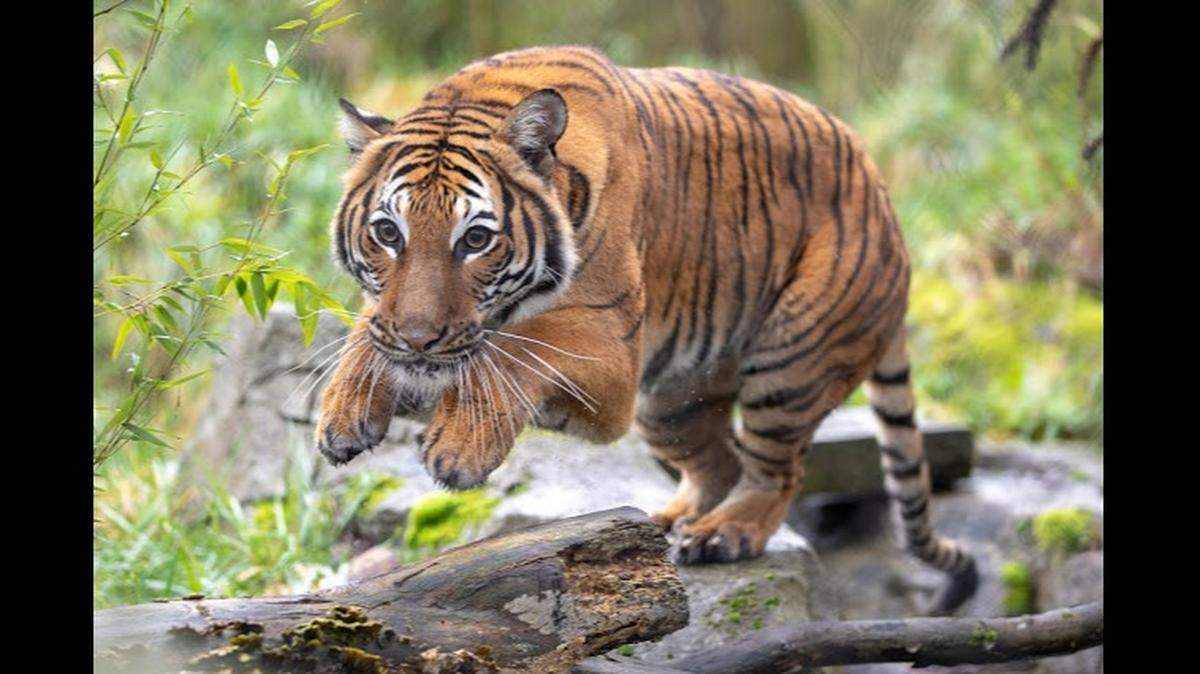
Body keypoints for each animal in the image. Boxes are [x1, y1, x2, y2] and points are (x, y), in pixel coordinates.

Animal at [315, 45, 977, 613]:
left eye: (475, 239)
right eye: (387, 233)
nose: (418, 339)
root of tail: (885, 200)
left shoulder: (610, 358)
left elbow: (516, 349)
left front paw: (458, 449)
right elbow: (369, 330)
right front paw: (344, 411)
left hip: (791, 364)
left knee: (777, 471)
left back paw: (722, 535)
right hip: (671, 404)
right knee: (722, 462)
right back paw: (663, 525)